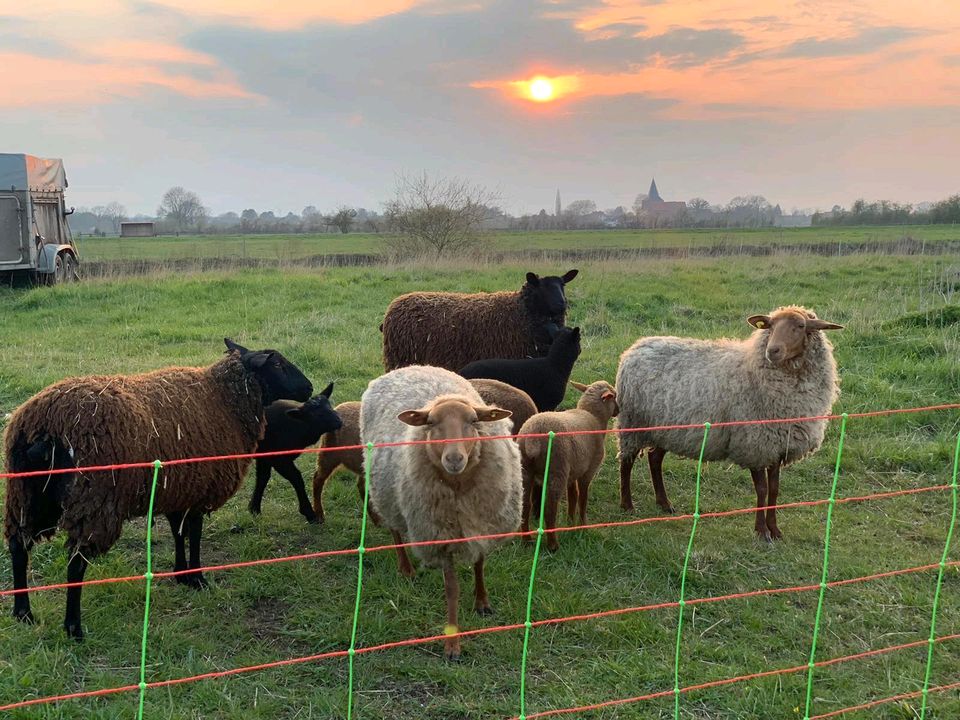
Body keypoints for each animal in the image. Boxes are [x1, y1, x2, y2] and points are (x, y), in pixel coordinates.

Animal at [246, 386, 344, 524]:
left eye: (329, 405)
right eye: (315, 414)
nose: (339, 421)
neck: (297, 426)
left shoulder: (265, 456)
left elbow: (262, 478)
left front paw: (254, 509)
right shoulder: (279, 459)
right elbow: (297, 478)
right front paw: (309, 513)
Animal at [310, 380, 536, 524]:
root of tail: (339, 407)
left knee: (360, 485)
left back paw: (376, 519)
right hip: (329, 453)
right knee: (318, 479)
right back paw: (319, 514)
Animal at [362, 368, 524, 660]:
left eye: (473, 420)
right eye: (431, 422)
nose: (454, 458)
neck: (459, 489)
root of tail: (407, 368)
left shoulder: (480, 521)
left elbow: (479, 564)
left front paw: (482, 602)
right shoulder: (441, 536)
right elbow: (452, 589)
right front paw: (452, 643)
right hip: (387, 492)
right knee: (395, 528)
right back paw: (406, 568)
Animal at [380, 268, 576, 372]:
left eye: (563, 285)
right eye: (542, 287)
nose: (562, 304)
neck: (522, 310)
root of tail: (393, 306)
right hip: (401, 359)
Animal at [520, 382, 620, 552]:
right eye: (614, 396)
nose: (618, 411)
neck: (593, 416)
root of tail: (533, 436)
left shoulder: (574, 470)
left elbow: (573, 495)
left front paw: (570, 522)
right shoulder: (588, 471)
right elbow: (583, 498)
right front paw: (583, 526)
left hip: (526, 469)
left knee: (526, 505)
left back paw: (526, 540)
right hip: (557, 469)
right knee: (550, 509)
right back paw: (553, 545)